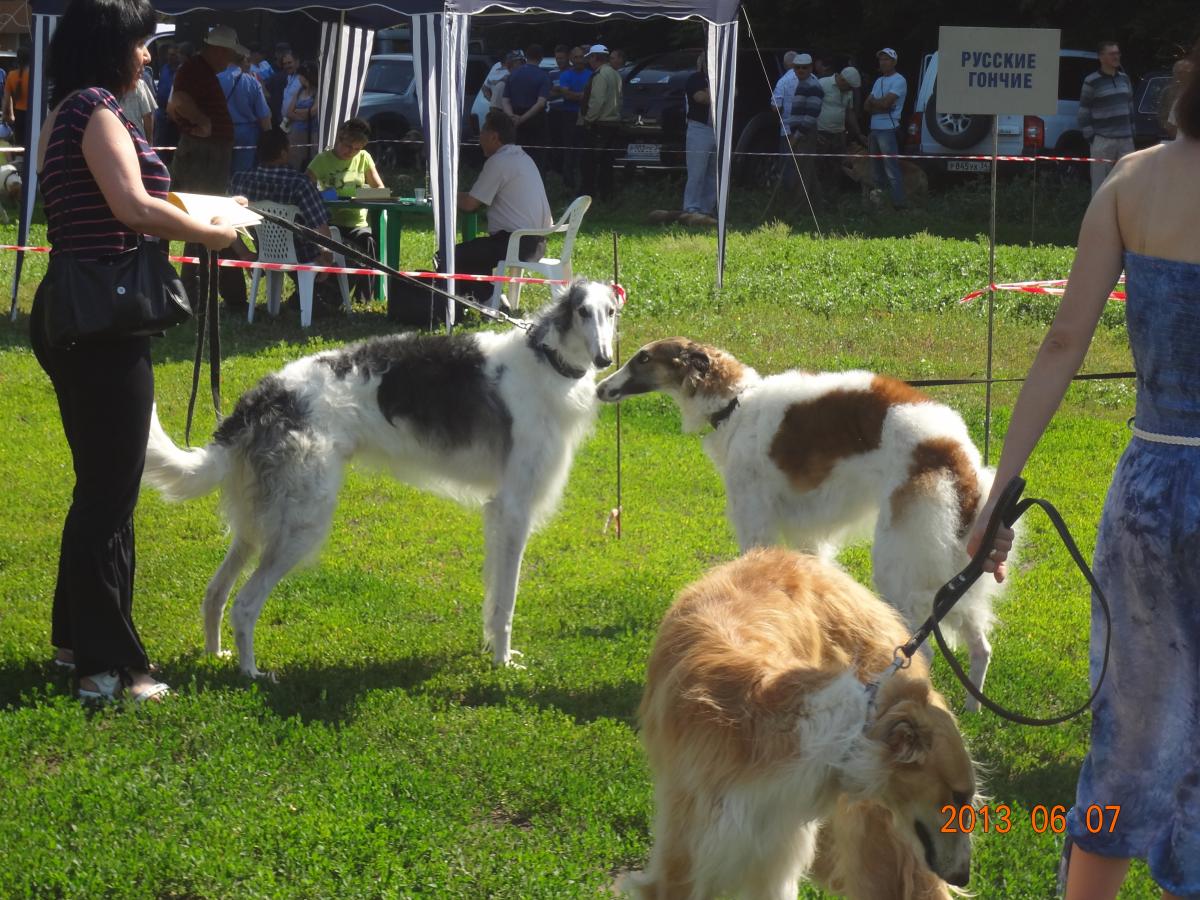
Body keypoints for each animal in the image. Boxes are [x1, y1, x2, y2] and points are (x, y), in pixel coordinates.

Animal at [143, 280, 617, 677]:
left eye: (610, 312)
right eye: (582, 312)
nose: (605, 359)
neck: (545, 362)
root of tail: (262, 398)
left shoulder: (497, 512)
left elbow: (493, 595)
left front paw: (490, 650)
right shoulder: (515, 508)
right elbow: (506, 601)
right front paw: (502, 662)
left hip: (259, 519)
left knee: (214, 593)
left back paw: (215, 654)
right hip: (301, 522)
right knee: (244, 603)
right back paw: (251, 674)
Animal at [596, 339, 1014, 709]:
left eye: (642, 358)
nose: (600, 387)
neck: (735, 406)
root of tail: (955, 451)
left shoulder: (755, 520)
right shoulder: (810, 539)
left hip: (900, 563)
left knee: (922, 649)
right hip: (954, 566)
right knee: (981, 646)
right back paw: (971, 712)